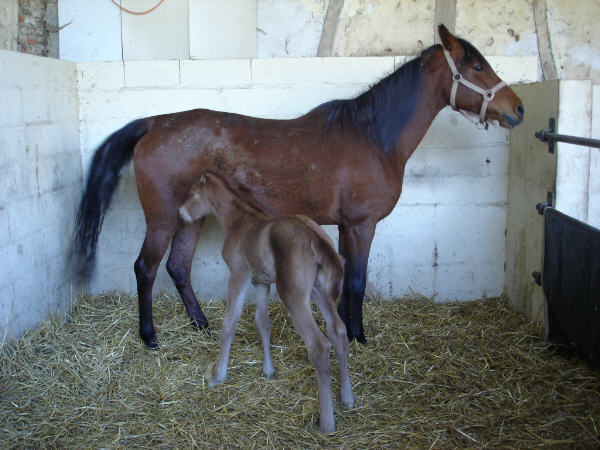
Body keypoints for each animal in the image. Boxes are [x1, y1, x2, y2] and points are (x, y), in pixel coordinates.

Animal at [180, 172, 354, 432]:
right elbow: (262, 323)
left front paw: (217, 377)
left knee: (319, 345)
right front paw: (268, 371)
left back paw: (326, 423)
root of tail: (316, 238)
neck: (238, 222)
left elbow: (230, 322)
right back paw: (347, 398)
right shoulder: (261, 282)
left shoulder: (239, 274)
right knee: (339, 331)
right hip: (319, 291)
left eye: (192, 194)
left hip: (293, 294)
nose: (181, 213)